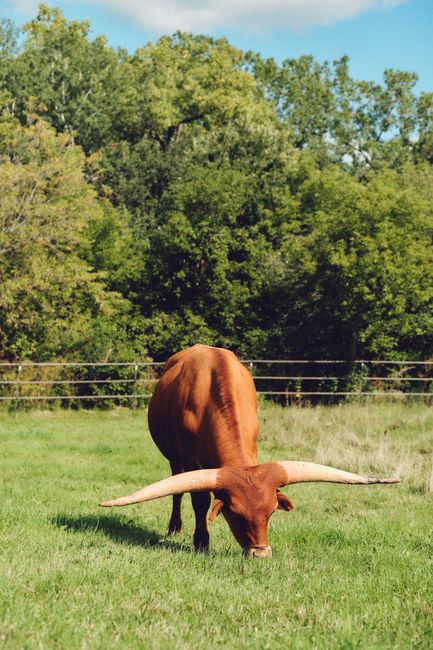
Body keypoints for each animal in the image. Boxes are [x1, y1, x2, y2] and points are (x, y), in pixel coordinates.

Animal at [100, 344, 399, 557]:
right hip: (175, 459)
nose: (261, 554)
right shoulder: (190, 460)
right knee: (177, 489)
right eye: (235, 514)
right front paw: (201, 542)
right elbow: (200, 501)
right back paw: (175, 527)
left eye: (271, 512)